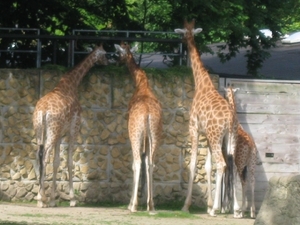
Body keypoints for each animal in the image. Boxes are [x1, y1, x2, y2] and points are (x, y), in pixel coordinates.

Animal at [32, 44, 108, 207]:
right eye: (104, 53)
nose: (108, 62)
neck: (71, 84)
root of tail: (43, 111)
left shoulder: (61, 133)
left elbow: (56, 162)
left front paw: (53, 199)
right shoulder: (74, 128)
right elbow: (69, 162)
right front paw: (72, 199)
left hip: (40, 130)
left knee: (38, 155)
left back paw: (41, 198)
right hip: (52, 131)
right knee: (45, 156)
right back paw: (41, 199)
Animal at [114, 43, 162, 214]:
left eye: (118, 52)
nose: (116, 61)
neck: (142, 84)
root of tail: (147, 114)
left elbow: (136, 164)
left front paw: (131, 203)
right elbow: (147, 162)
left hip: (135, 135)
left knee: (137, 162)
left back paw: (133, 206)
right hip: (155, 135)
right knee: (150, 163)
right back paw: (151, 205)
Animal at [175, 19, 240, 218]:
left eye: (183, 32)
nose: (182, 41)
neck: (202, 84)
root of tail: (230, 119)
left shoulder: (195, 129)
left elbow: (193, 163)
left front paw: (186, 205)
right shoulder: (207, 136)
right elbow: (207, 167)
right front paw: (209, 203)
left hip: (216, 136)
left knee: (222, 164)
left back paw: (215, 210)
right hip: (229, 138)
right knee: (233, 166)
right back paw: (236, 210)